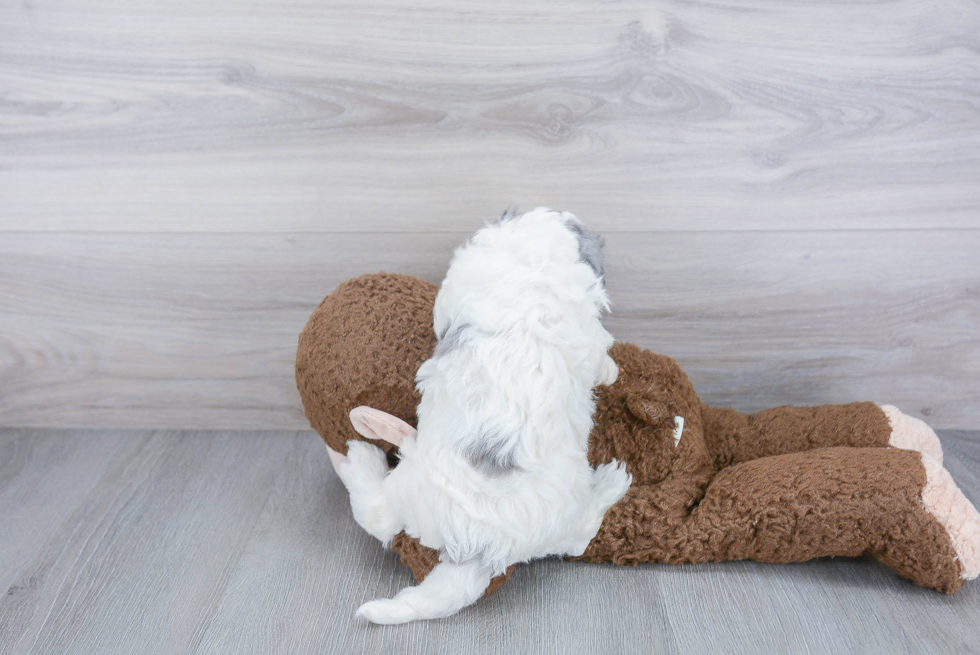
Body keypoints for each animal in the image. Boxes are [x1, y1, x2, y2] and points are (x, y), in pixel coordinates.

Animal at [330, 209, 632, 624]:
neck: (528, 263)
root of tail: (476, 544)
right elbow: (602, 354)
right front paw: (612, 372)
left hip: (410, 485)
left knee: (375, 513)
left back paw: (362, 457)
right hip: (563, 510)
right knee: (577, 540)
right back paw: (610, 483)